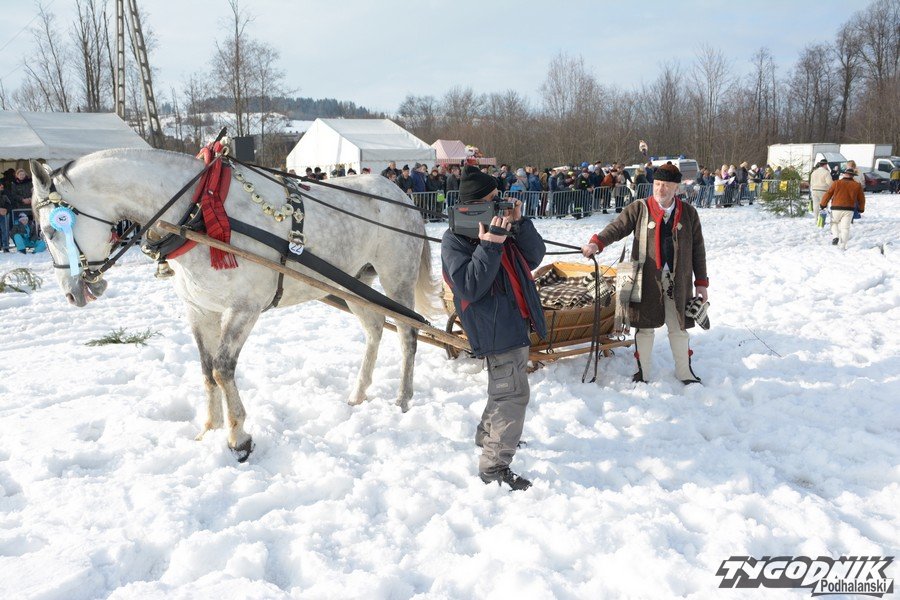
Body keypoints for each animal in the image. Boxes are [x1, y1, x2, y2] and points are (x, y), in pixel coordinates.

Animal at [29, 149, 438, 461]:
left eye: (52, 228)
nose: (73, 293)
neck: (195, 212)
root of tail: (401, 197)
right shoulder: (199, 310)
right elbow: (206, 371)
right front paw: (209, 428)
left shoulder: (243, 309)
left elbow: (224, 368)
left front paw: (238, 437)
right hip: (355, 283)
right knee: (374, 330)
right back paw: (357, 394)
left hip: (395, 278)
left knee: (407, 332)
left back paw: (403, 398)